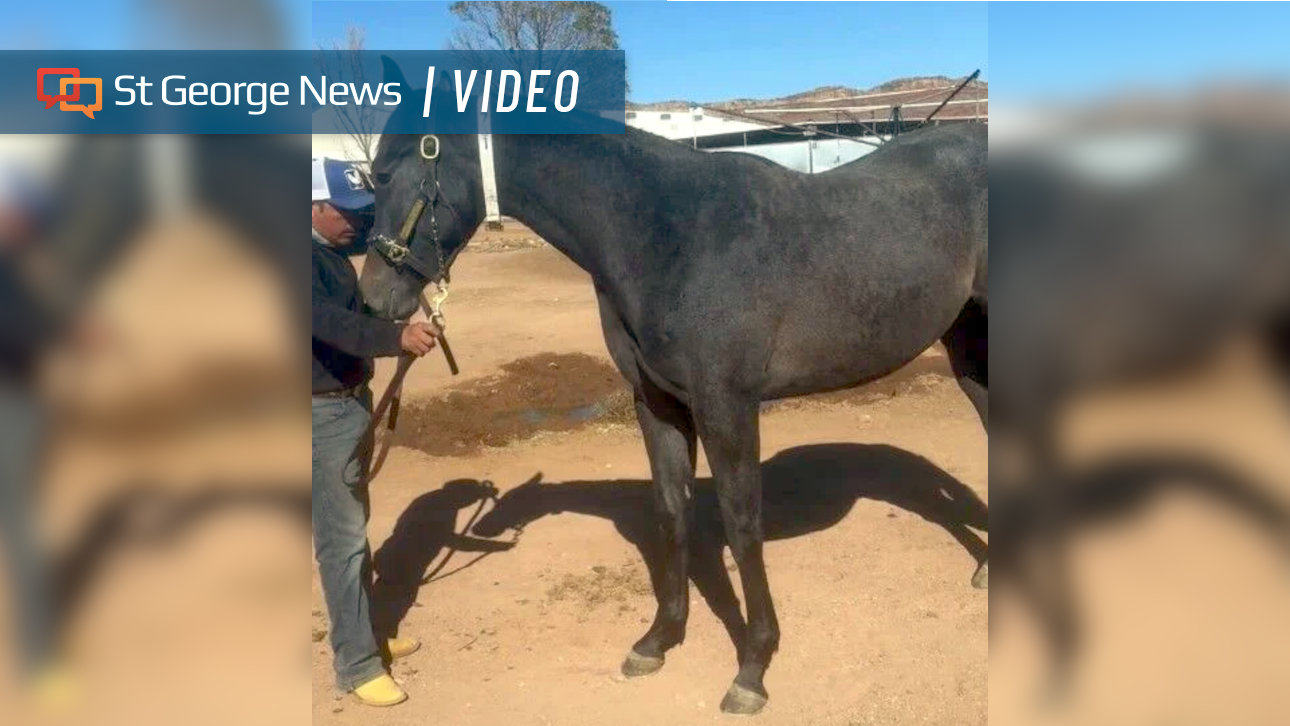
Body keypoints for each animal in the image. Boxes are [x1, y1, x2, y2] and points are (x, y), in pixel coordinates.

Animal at [359, 58, 988, 715]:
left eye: (385, 171)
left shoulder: (725, 404)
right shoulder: (657, 402)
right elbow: (671, 508)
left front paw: (753, 667)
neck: (665, 231)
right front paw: (660, 638)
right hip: (968, 346)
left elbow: (741, 522)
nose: (375, 298)